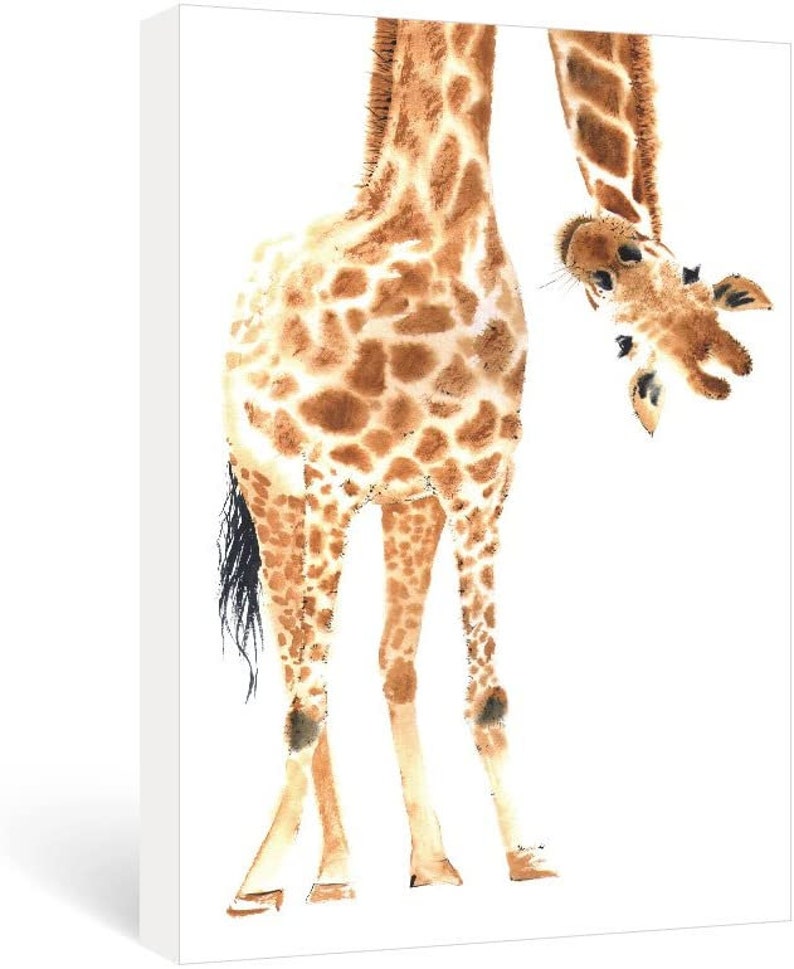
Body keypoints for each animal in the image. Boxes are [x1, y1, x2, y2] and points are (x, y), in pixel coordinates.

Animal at [221, 18, 553, 917]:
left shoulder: (480, 480)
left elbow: (488, 689)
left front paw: (526, 855)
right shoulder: (331, 480)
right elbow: (305, 702)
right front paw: (259, 882)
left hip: (407, 505)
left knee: (388, 662)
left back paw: (428, 862)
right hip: (275, 495)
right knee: (300, 668)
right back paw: (325, 871)